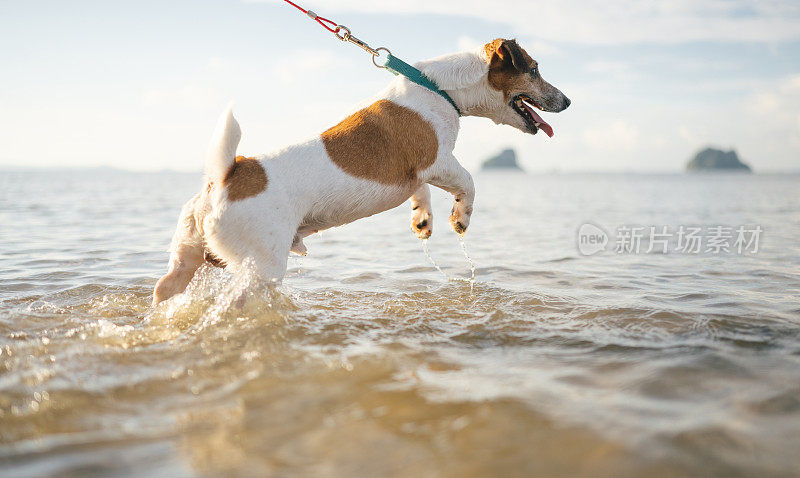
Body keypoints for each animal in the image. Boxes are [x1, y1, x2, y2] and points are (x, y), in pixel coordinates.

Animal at [153, 39, 572, 304]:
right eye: (535, 70)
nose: (568, 101)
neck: (440, 88)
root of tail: (224, 177)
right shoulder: (438, 161)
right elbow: (468, 182)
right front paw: (460, 218)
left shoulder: (420, 173)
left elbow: (421, 191)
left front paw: (423, 219)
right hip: (263, 265)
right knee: (238, 299)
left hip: (188, 257)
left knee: (165, 288)